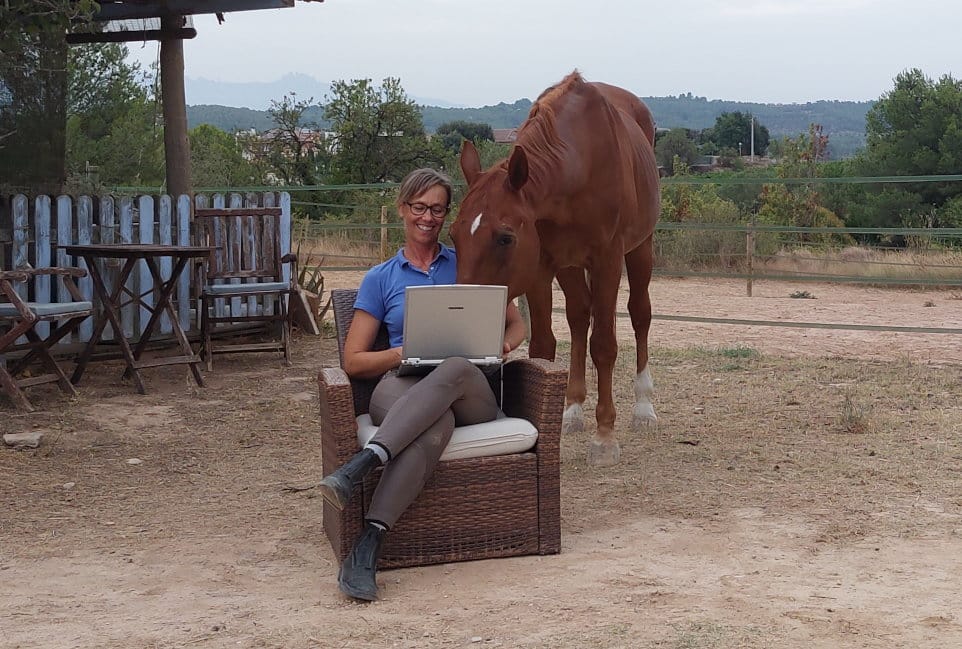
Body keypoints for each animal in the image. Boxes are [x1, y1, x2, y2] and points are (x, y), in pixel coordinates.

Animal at [449, 71, 660, 467]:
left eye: (505, 238)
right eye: (452, 234)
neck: (579, 164)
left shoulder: (608, 259)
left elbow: (604, 345)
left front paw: (605, 437)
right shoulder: (541, 266)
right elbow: (543, 347)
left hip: (641, 249)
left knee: (640, 315)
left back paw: (643, 408)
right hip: (570, 265)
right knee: (578, 317)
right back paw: (572, 411)